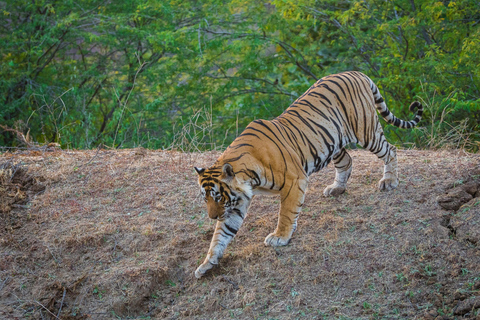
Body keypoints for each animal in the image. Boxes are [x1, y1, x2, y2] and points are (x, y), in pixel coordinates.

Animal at [193, 70, 422, 278]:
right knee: (347, 161)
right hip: (333, 143)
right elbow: (221, 235)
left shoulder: (294, 180)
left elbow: (286, 213)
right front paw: (207, 263)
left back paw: (389, 181)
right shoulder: (237, 202)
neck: (249, 177)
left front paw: (280, 237)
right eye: (205, 199)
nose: (212, 217)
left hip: (366, 130)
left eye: (218, 197)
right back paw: (337, 188)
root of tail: (357, 72)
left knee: (390, 149)